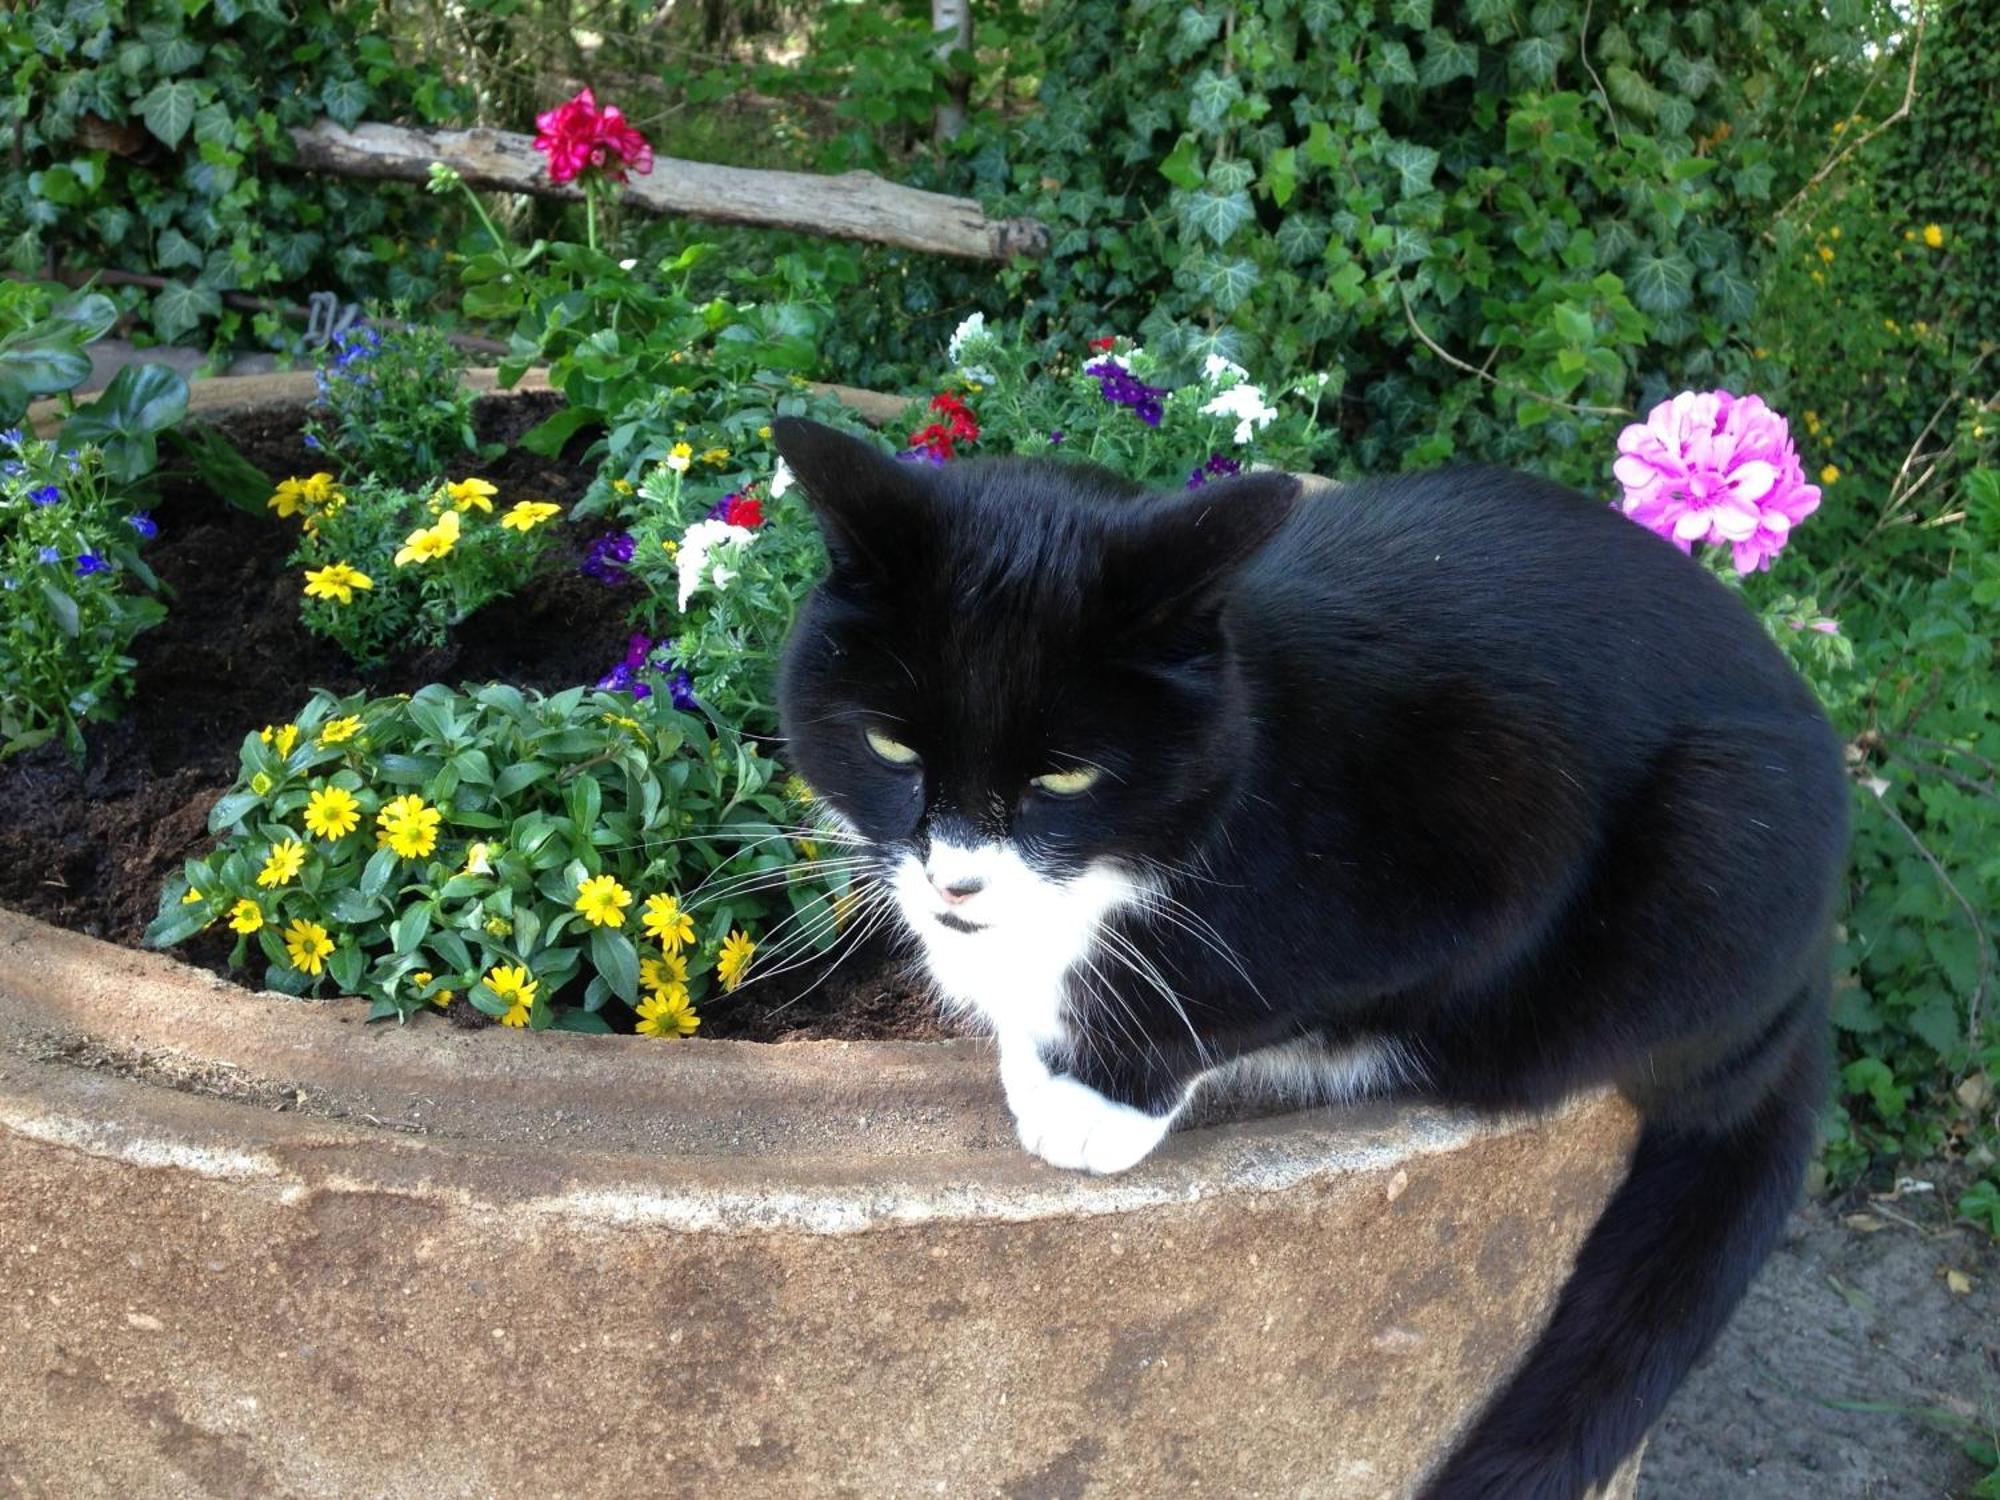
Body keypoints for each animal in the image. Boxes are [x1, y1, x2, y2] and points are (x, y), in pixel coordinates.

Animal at [764, 420, 1840, 1500]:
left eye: (1064, 778)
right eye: (891, 748)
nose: (956, 885)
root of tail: (1801, 1003)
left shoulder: (1483, 829)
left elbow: (1250, 988)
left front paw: (1090, 1096)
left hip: (1715, 841)